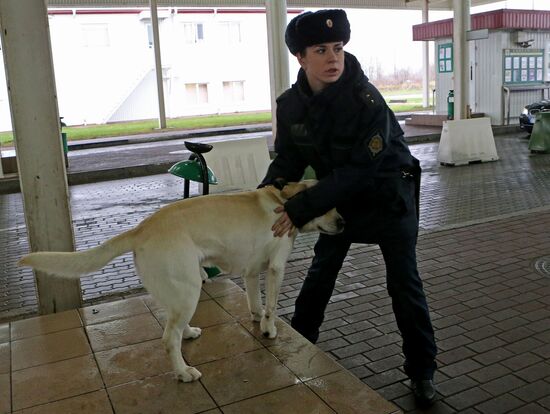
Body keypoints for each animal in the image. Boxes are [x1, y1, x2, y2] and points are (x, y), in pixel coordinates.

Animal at [19, 180, 344, 382]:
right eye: (326, 204)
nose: (343, 222)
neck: (283, 202)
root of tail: (141, 228)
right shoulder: (276, 268)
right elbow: (272, 306)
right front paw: (269, 329)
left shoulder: (251, 271)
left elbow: (256, 300)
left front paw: (256, 317)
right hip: (189, 289)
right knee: (168, 338)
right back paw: (183, 372)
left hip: (179, 290)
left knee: (173, 325)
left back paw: (188, 332)